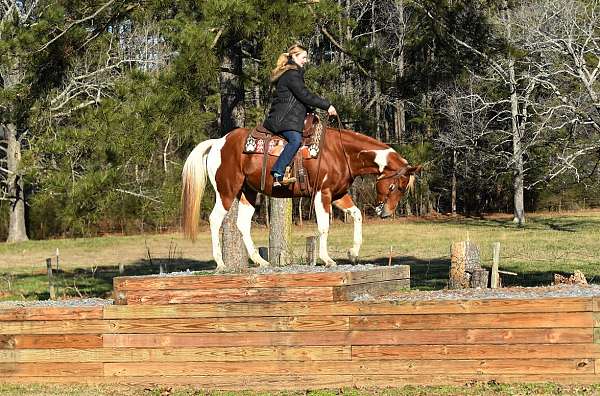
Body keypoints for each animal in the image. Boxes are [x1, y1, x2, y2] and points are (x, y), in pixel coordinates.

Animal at [180, 125, 420, 270]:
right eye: (395, 186)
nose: (386, 213)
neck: (340, 152)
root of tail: (219, 142)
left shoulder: (338, 194)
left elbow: (357, 215)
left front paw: (353, 253)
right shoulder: (322, 194)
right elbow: (324, 227)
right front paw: (327, 259)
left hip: (248, 192)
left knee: (242, 223)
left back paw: (260, 261)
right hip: (227, 191)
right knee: (215, 220)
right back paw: (221, 263)